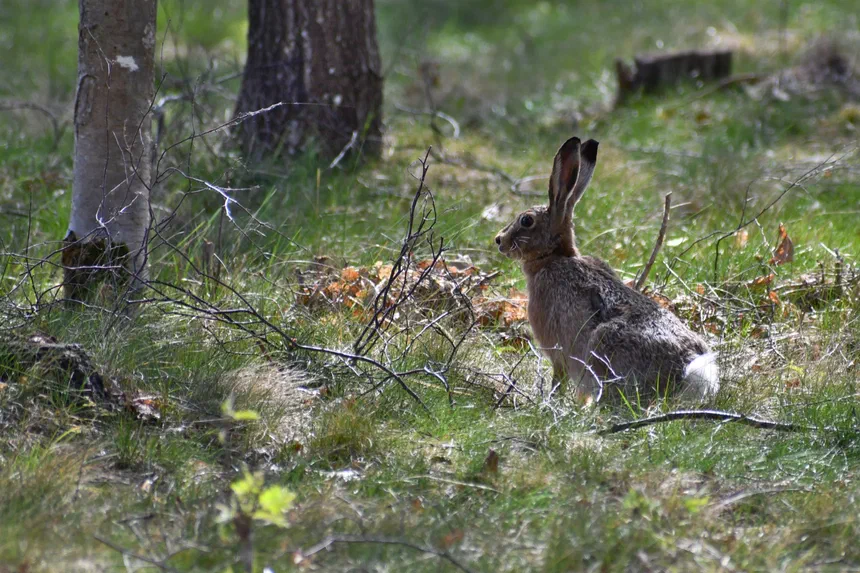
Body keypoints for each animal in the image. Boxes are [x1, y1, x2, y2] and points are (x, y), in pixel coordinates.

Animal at [494, 137, 719, 403]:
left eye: (526, 220)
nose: (499, 240)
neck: (553, 257)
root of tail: (688, 371)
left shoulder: (558, 352)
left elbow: (558, 380)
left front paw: (549, 402)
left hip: (601, 347)